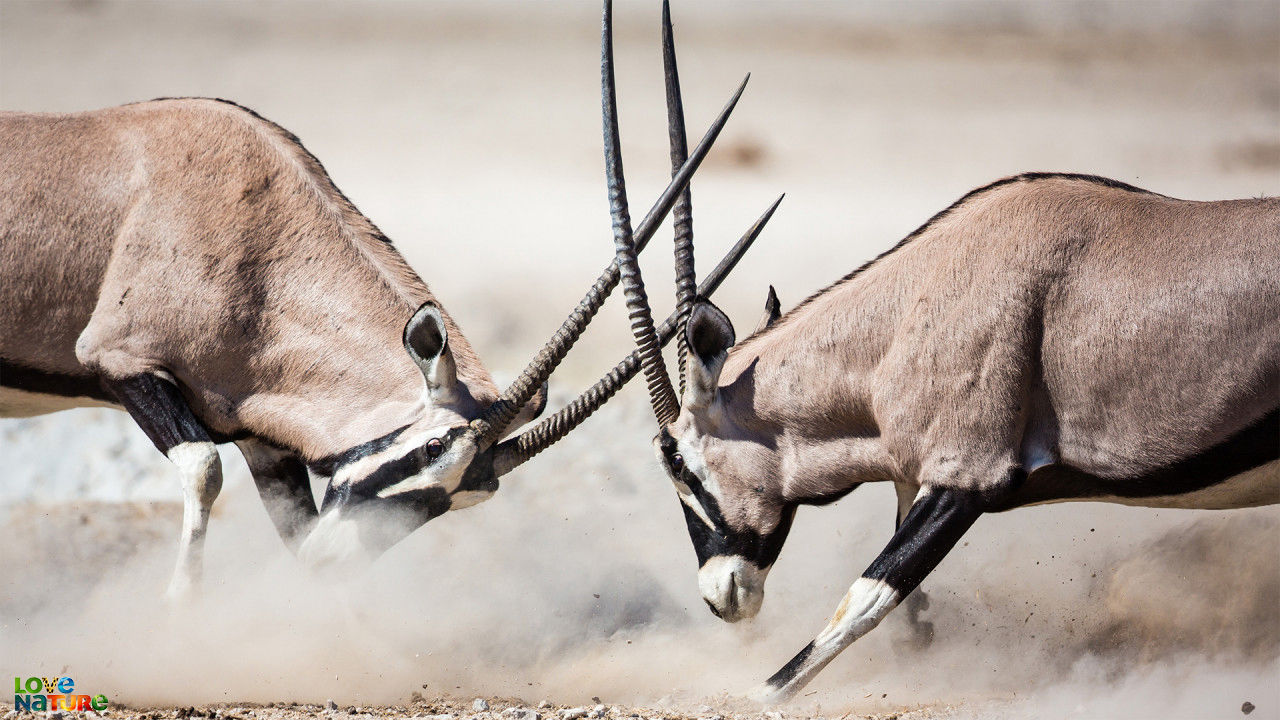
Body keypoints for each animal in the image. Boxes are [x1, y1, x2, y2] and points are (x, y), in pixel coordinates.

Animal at [2, 2, 778, 597]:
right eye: (429, 447)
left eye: (460, 496)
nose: (335, 566)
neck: (251, 235)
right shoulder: (122, 361)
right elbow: (202, 471)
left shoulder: (259, 437)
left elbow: (286, 523)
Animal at [604, 8, 1274, 696]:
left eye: (679, 464)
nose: (720, 598)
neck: (906, 319)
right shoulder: (917, 480)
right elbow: (913, 623)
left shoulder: (965, 479)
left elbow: (859, 607)